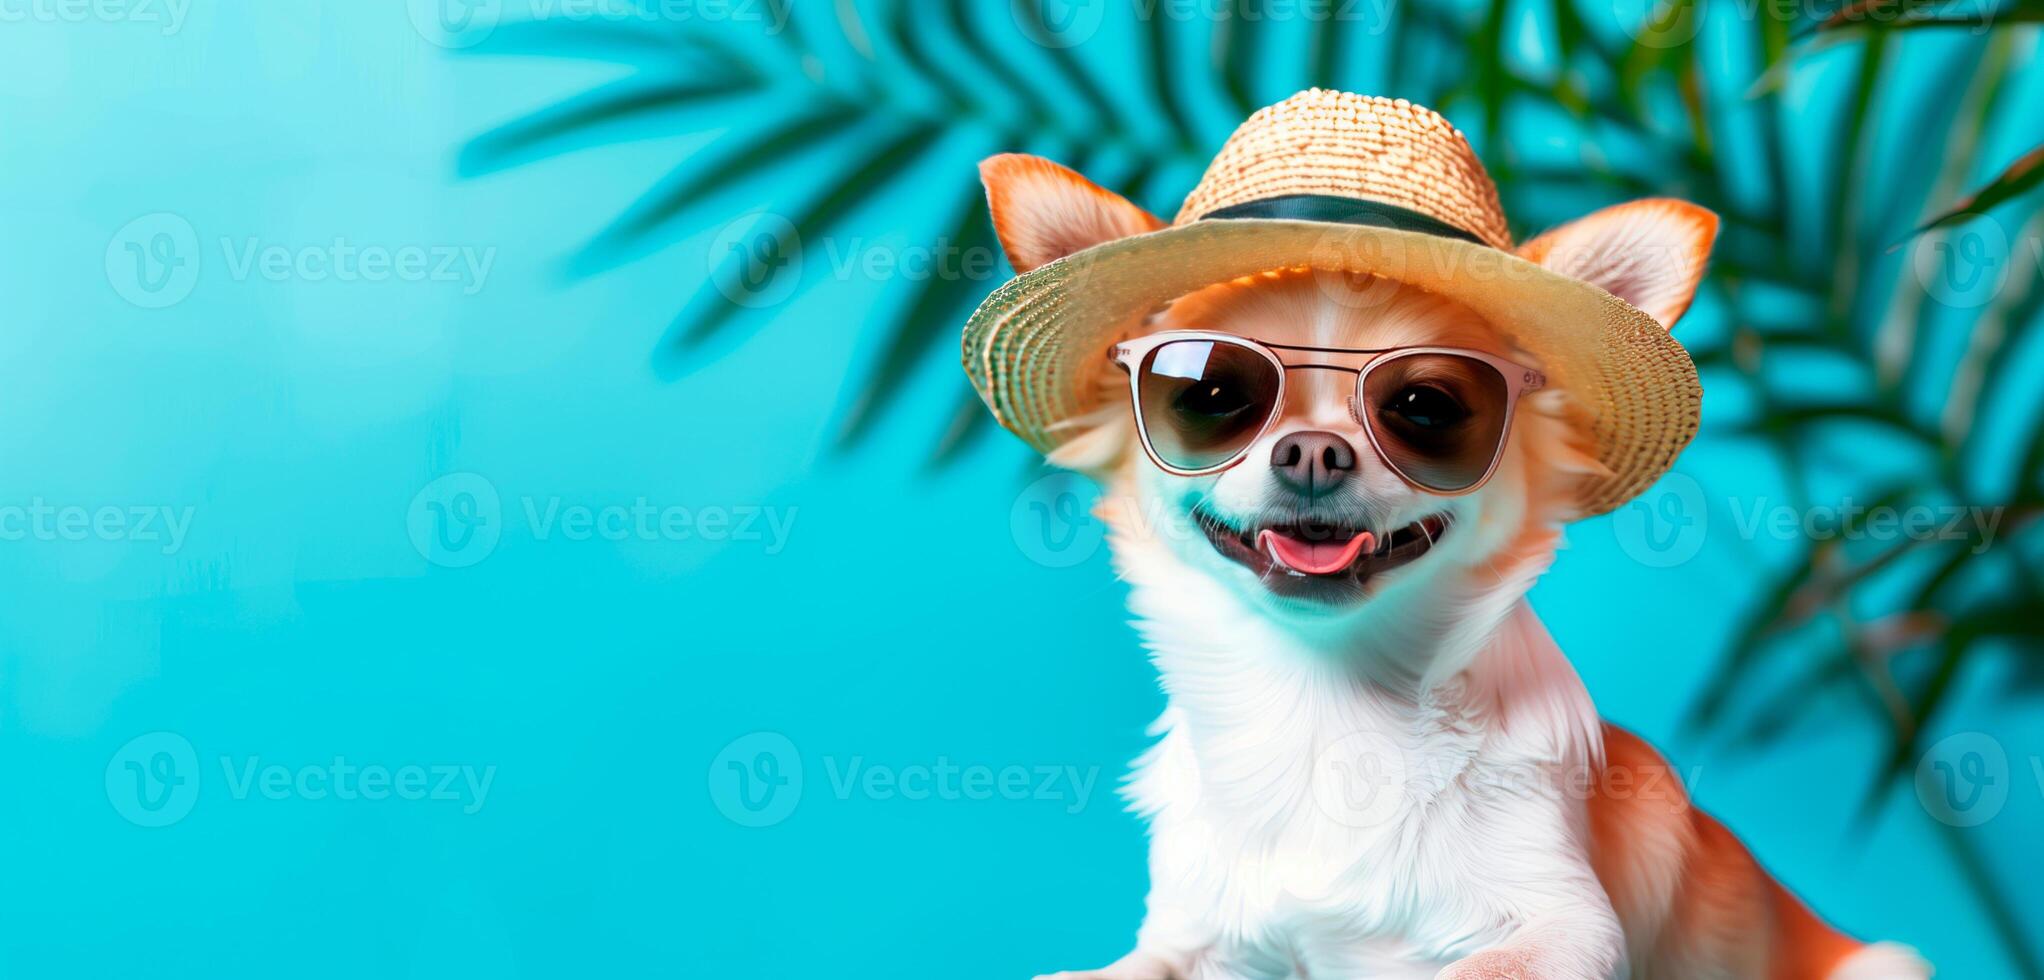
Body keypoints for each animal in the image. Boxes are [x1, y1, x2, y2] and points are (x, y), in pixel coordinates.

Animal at [977, 155, 1929, 980]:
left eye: (1426, 407)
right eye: (1212, 395)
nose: (1313, 451)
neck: (1326, 702)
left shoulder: (1566, 923)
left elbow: (1483, 967)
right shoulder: (1196, 942)